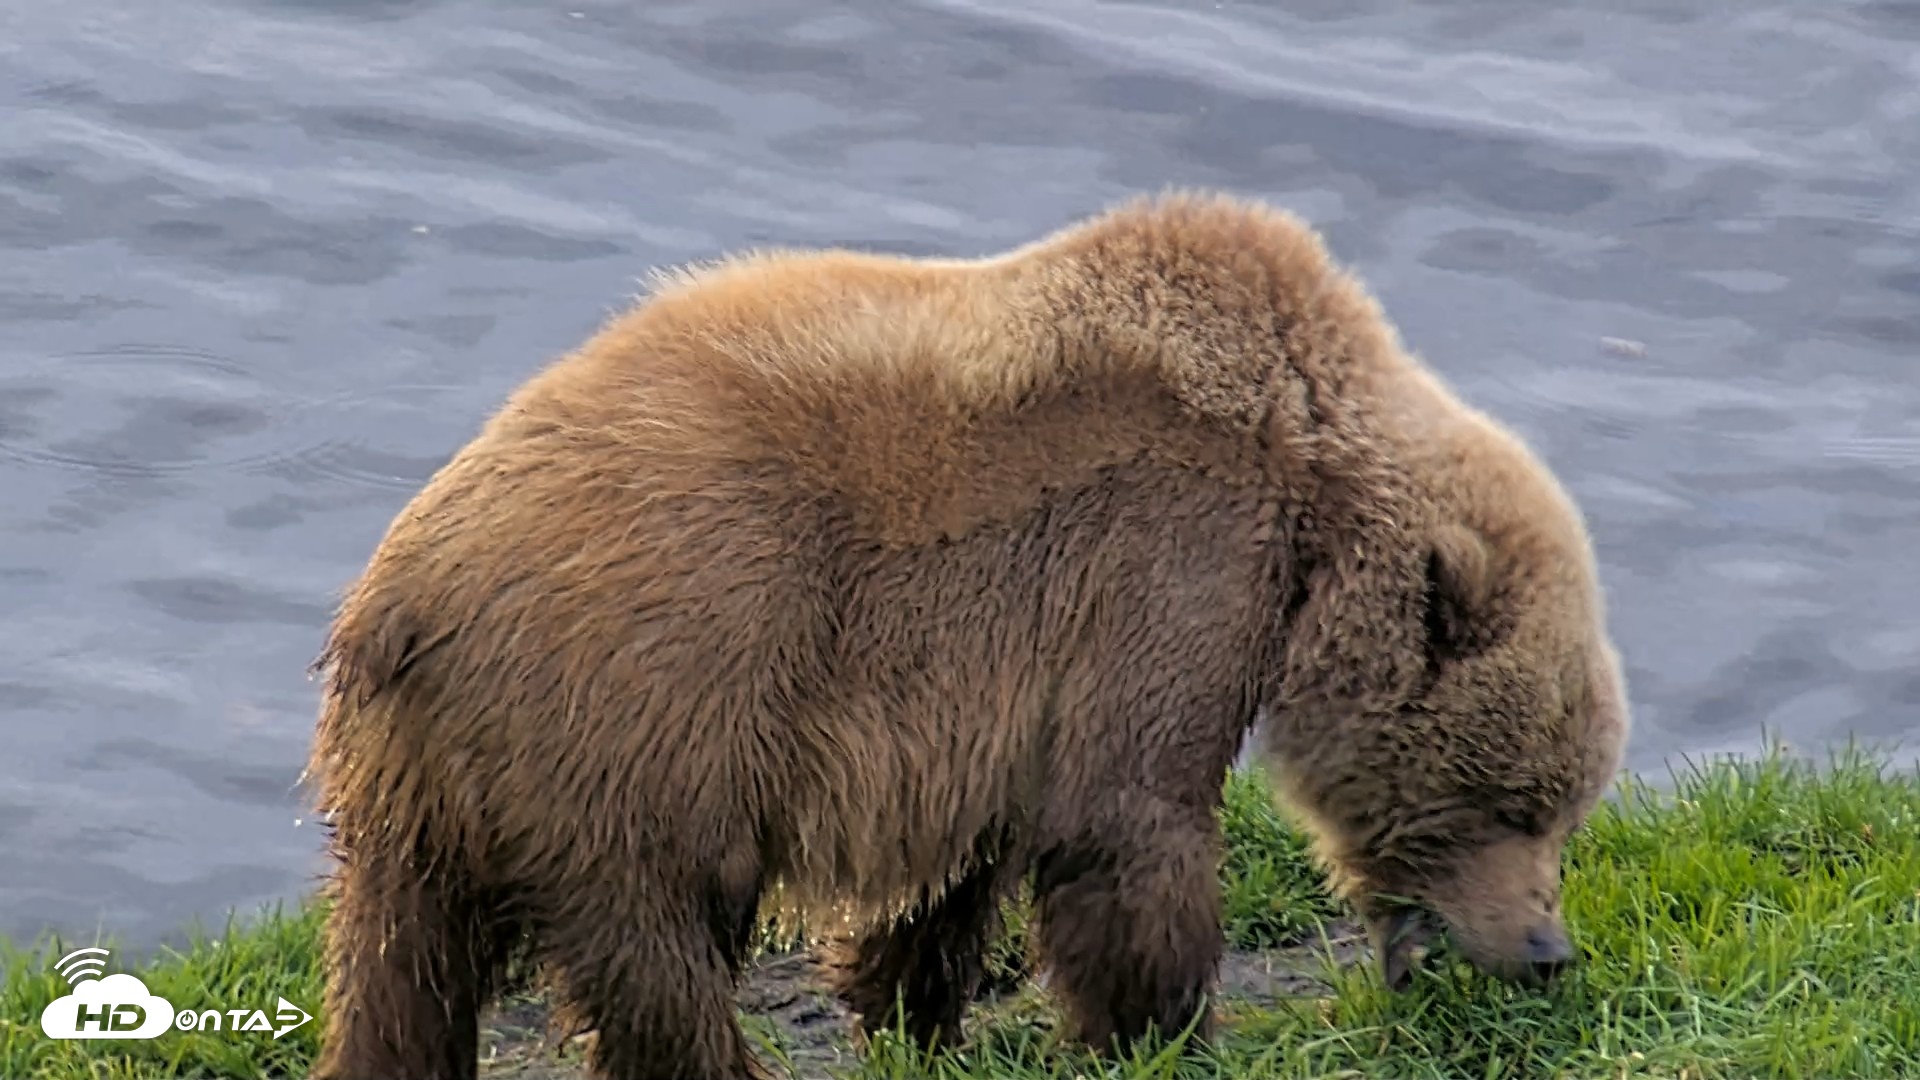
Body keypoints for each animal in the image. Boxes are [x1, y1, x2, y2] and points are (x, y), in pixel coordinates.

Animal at [302, 189, 1631, 1080]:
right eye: (1512, 798)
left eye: (1567, 809)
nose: (1547, 950)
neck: (1313, 477)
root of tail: (399, 597)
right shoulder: (1171, 560)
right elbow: (1128, 812)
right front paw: (1168, 1028)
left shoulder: (1001, 677)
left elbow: (965, 856)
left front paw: (912, 1006)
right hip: (641, 703)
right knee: (658, 949)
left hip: (424, 793)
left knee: (401, 970)